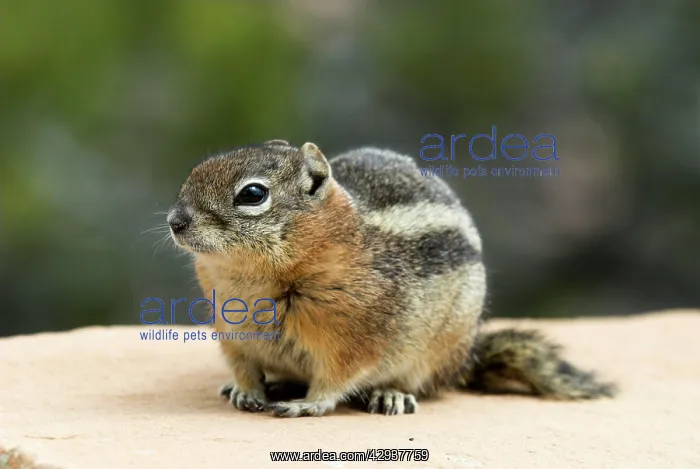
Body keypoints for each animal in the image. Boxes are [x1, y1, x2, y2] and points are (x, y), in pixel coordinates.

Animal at [167, 140, 616, 418]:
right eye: (194, 172)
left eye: (253, 194)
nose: (176, 221)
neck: (251, 280)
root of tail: (466, 359)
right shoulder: (232, 333)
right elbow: (243, 366)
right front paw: (244, 389)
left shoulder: (356, 339)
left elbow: (336, 378)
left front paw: (309, 404)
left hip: (435, 353)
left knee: (420, 383)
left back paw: (391, 394)